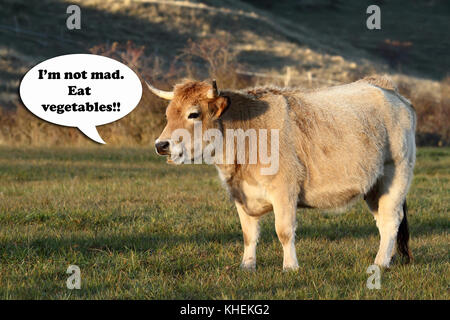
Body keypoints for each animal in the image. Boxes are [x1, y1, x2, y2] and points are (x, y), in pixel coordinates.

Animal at [147, 75, 414, 270]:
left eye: (193, 114)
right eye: (168, 115)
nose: (161, 145)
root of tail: (387, 88)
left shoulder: (284, 191)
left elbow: (283, 231)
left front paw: (290, 267)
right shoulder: (241, 195)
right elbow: (249, 234)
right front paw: (247, 265)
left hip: (395, 176)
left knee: (391, 220)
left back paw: (379, 263)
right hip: (374, 188)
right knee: (383, 224)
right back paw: (387, 259)